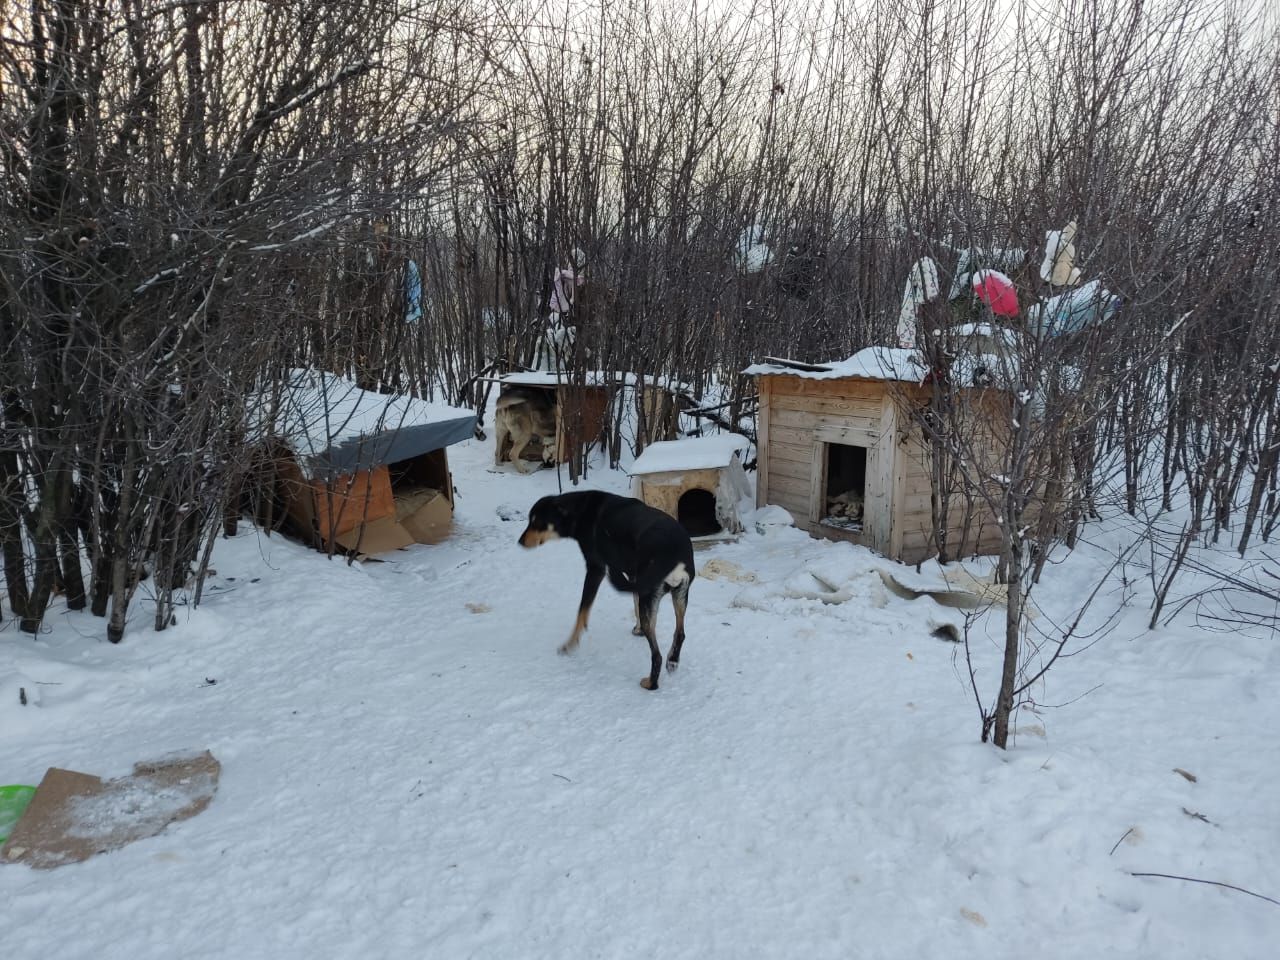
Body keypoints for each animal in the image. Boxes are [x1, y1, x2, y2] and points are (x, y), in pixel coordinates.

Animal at [517, 496, 696, 691]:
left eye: (536, 522)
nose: (520, 541)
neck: (580, 510)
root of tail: (674, 555)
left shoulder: (596, 569)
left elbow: (582, 611)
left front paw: (569, 644)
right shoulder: (634, 578)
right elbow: (633, 602)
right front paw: (638, 629)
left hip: (650, 596)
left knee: (657, 656)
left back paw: (650, 683)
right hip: (679, 596)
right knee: (680, 633)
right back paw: (673, 660)